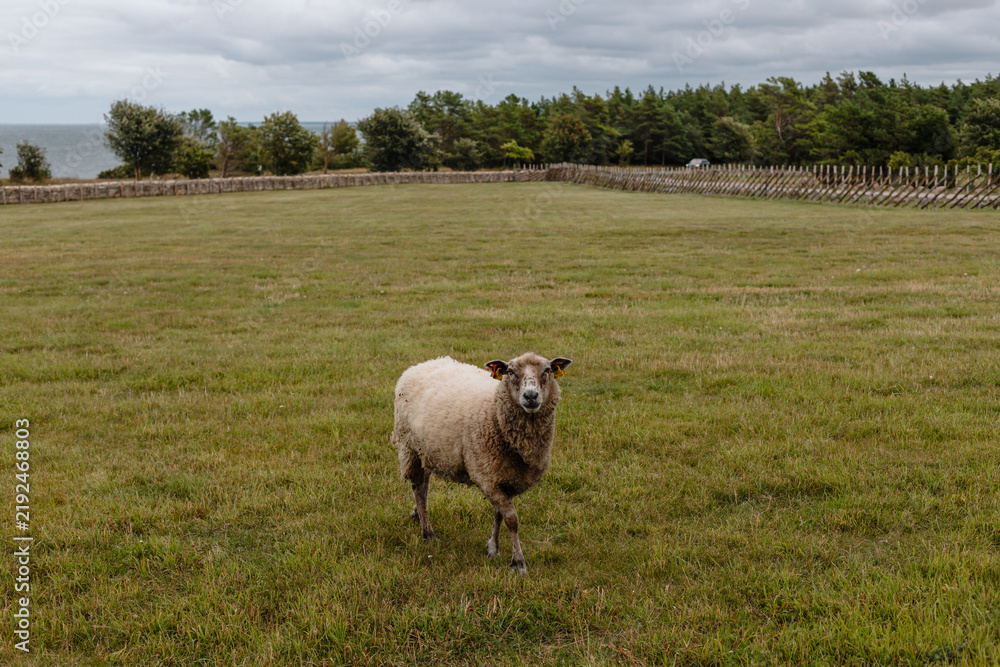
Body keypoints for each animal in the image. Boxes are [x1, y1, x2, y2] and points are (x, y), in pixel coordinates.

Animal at [391, 352, 572, 574]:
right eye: (510, 372)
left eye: (547, 371)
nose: (531, 396)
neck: (495, 412)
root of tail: (422, 364)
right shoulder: (487, 476)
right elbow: (512, 520)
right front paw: (518, 562)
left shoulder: (503, 477)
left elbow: (498, 515)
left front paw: (493, 548)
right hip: (410, 448)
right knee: (419, 490)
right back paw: (428, 533)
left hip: (427, 451)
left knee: (423, 488)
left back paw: (417, 513)